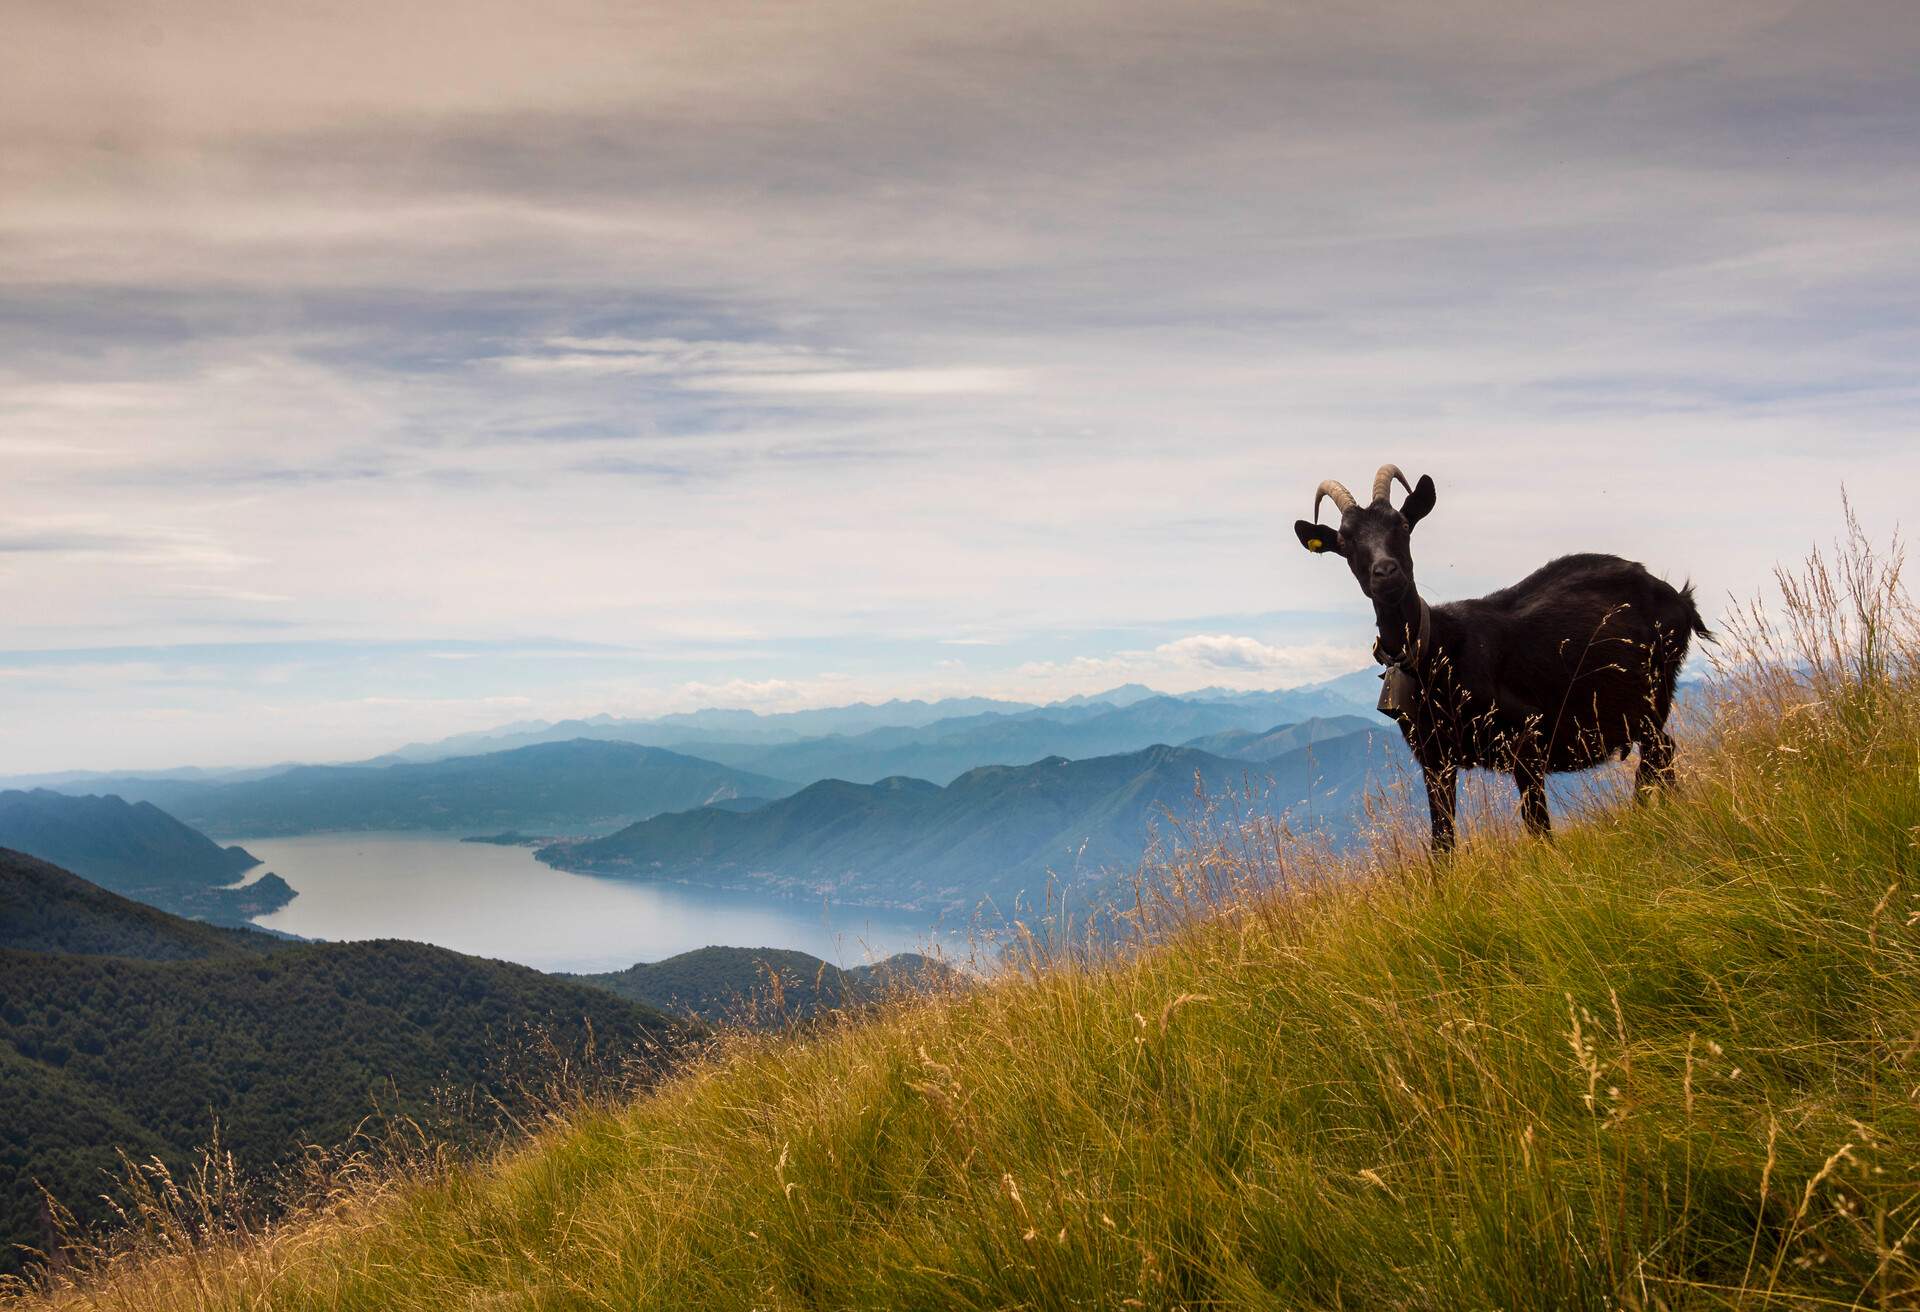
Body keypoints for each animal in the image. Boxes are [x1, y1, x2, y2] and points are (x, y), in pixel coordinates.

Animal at [1290, 466, 1712, 856]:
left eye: (1403, 524)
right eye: (1345, 542)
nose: (1386, 572)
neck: (1434, 650)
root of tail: (1677, 598)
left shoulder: (1527, 735)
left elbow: (1537, 826)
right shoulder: (1434, 759)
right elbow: (1442, 843)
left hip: (1648, 698)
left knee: (1659, 751)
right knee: (1662, 753)